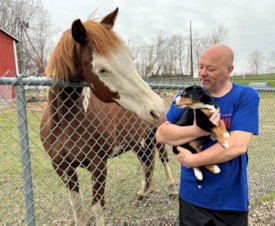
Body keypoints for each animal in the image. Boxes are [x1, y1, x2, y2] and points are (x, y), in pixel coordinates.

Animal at [40, 7, 170, 225]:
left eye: (129, 57)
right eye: (101, 69)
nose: (157, 109)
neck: (65, 122)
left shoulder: (98, 165)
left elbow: (98, 207)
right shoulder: (62, 167)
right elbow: (78, 208)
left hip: (155, 135)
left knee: (163, 157)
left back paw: (171, 187)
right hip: (134, 141)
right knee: (145, 159)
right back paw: (143, 191)